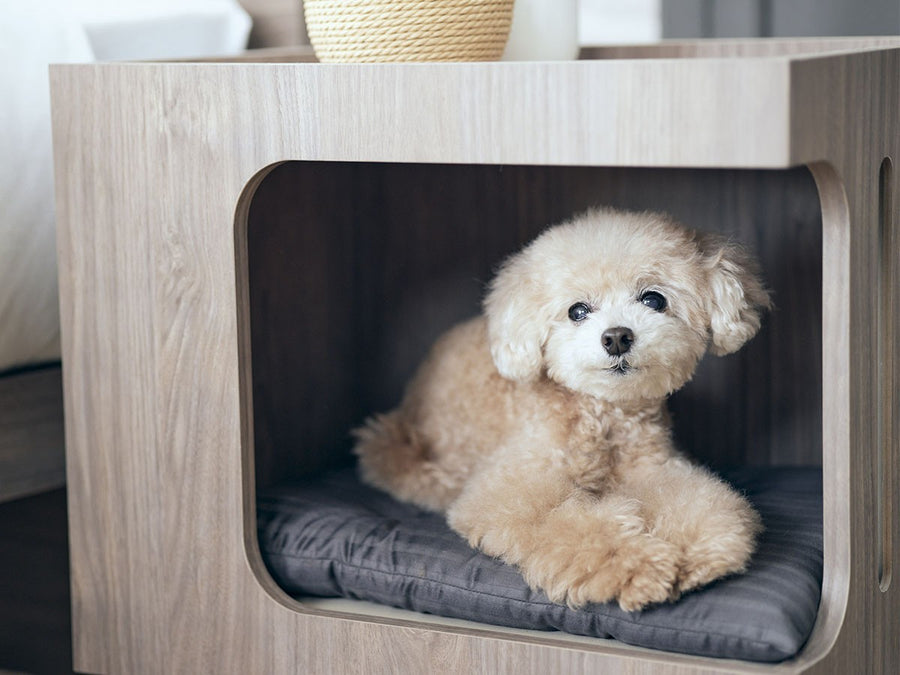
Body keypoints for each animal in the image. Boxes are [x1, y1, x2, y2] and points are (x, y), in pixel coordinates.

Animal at [352, 207, 768, 612]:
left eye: (653, 300)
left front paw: (696, 550)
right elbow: (566, 522)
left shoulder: (653, 467)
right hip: (399, 452)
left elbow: (690, 500)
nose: (617, 337)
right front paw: (640, 565)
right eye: (577, 311)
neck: (600, 415)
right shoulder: (515, 487)